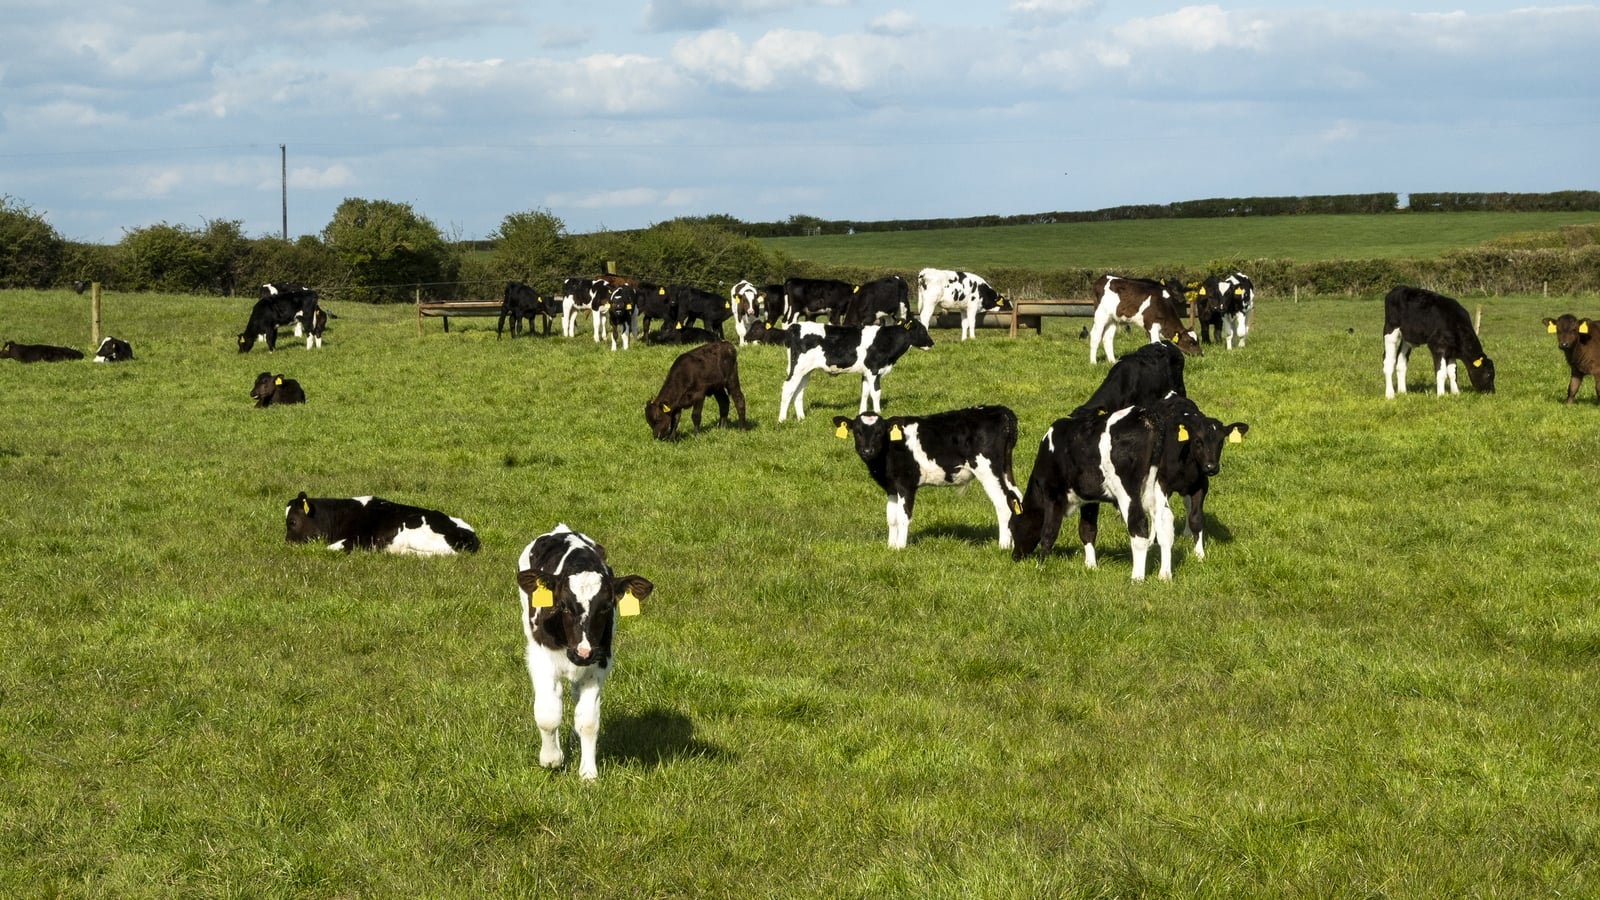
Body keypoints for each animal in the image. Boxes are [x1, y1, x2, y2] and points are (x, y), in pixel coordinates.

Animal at [516, 524, 653, 780]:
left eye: (607, 606)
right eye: (563, 605)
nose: (583, 653)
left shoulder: (599, 661)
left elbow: (588, 719)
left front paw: (588, 773)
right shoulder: (540, 658)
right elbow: (548, 714)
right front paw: (551, 759)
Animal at [777, 320, 935, 422]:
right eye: (922, 330)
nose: (932, 343)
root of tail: (795, 326)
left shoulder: (866, 372)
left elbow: (865, 392)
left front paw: (863, 414)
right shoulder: (874, 370)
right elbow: (876, 393)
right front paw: (878, 413)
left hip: (805, 371)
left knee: (799, 391)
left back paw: (801, 418)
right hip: (797, 369)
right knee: (788, 388)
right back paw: (782, 420)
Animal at [832, 405, 1024, 550]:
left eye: (879, 432)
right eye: (857, 432)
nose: (867, 450)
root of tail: (1001, 411)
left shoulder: (906, 484)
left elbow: (903, 516)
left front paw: (900, 547)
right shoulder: (891, 486)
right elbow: (891, 518)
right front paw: (890, 547)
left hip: (988, 470)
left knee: (1003, 503)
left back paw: (1003, 545)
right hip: (1005, 470)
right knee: (1016, 498)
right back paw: (1016, 544)